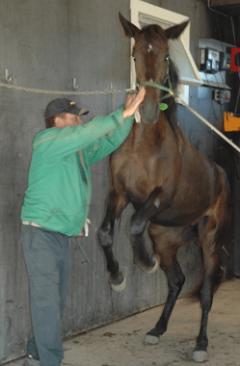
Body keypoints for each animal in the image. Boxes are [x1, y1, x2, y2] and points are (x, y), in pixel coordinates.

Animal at [97, 12, 231, 362]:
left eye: (167, 56)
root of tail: (221, 174)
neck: (145, 145)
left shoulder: (159, 197)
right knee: (176, 281)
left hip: (209, 237)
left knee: (206, 290)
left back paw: (201, 344)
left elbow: (134, 223)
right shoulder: (119, 193)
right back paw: (156, 329)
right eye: (134, 54)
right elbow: (106, 233)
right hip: (165, 238)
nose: (145, 111)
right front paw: (117, 277)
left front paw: (145, 263)